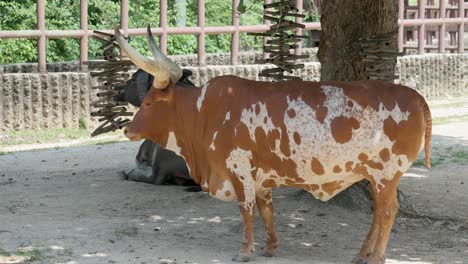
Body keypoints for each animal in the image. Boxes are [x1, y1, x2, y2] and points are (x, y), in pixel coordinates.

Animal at [114, 26, 432, 264]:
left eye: (149, 103)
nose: (128, 130)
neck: (204, 112)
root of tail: (417, 98)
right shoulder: (261, 176)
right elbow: (266, 210)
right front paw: (270, 247)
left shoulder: (238, 169)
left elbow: (246, 210)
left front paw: (244, 251)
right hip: (376, 176)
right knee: (379, 213)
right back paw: (362, 254)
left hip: (386, 174)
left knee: (387, 211)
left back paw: (375, 256)